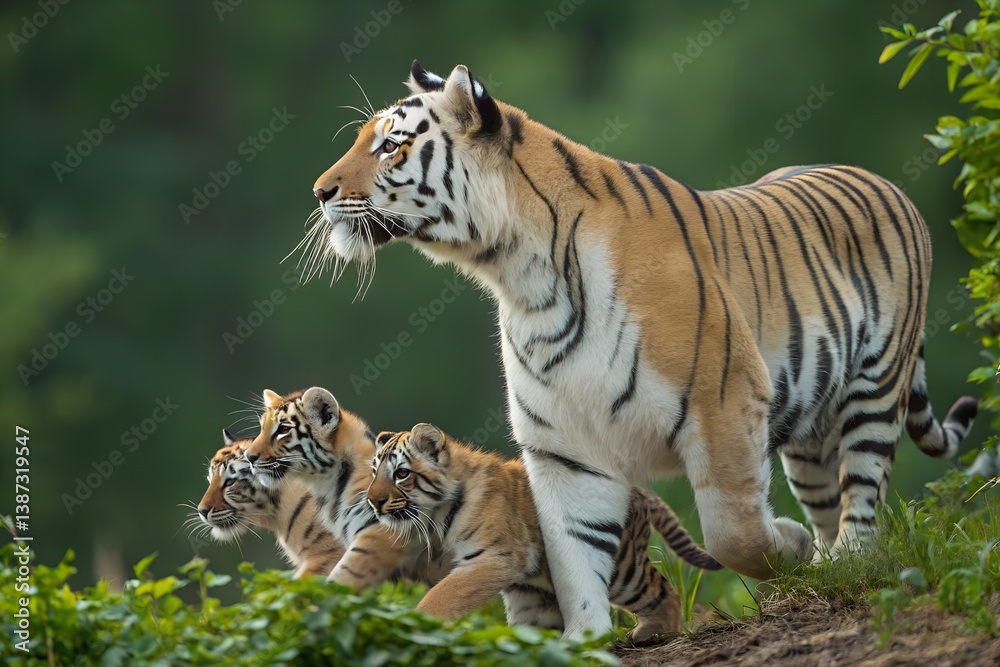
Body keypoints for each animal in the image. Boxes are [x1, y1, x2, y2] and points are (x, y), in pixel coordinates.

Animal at [368, 424, 722, 640]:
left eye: (401, 474)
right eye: (374, 473)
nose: (373, 501)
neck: (436, 515)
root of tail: (638, 490)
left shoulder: (495, 558)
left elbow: (443, 594)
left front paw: (414, 626)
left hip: (622, 570)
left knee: (663, 590)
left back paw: (650, 635)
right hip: (534, 593)